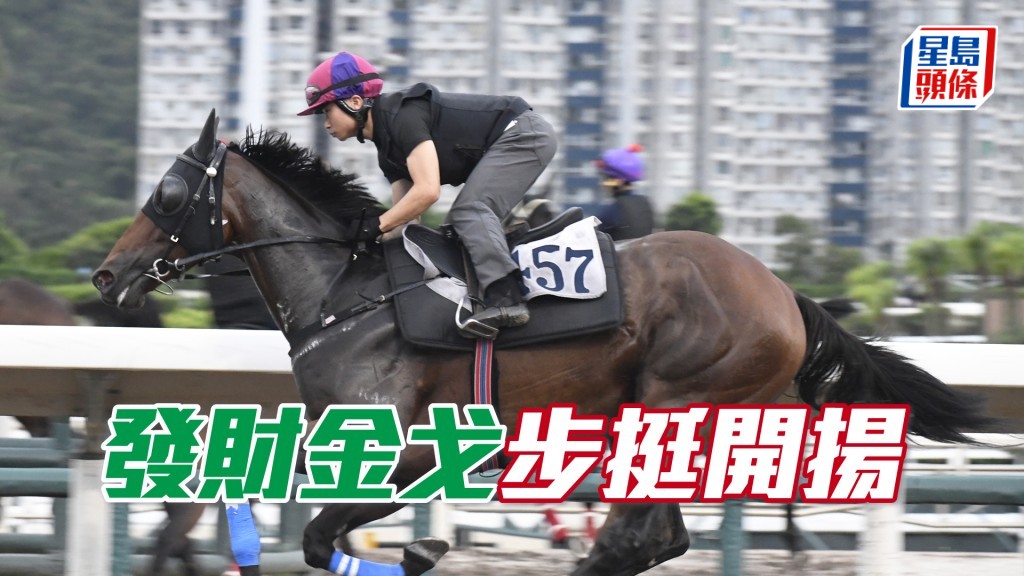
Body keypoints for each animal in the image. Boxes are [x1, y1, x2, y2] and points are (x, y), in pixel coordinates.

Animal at [91, 111, 993, 576]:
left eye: (166, 193)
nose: (106, 275)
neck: (344, 292)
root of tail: (783, 294)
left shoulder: (412, 445)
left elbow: (323, 535)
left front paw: (422, 548)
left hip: (675, 401)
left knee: (642, 535)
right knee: (658, 538)